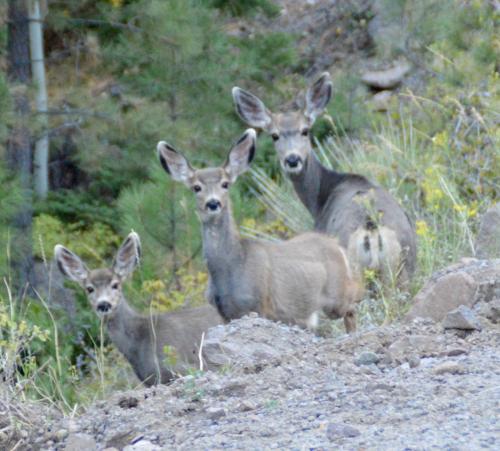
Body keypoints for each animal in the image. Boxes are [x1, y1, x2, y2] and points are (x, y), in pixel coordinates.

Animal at [156, 129, 360, 334]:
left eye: (225, 184)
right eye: (196, 187)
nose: (213, 203)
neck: (232, 267)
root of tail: (337, 246)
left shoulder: (261, 305)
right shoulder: (225, 314)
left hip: (336, 295)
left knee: (353, 305)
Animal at [232, 73, 416, 290]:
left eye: (305, 130)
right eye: (275, 135)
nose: (292, 159)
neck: (321, 198)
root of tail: (371, 230)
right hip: (404, 271)